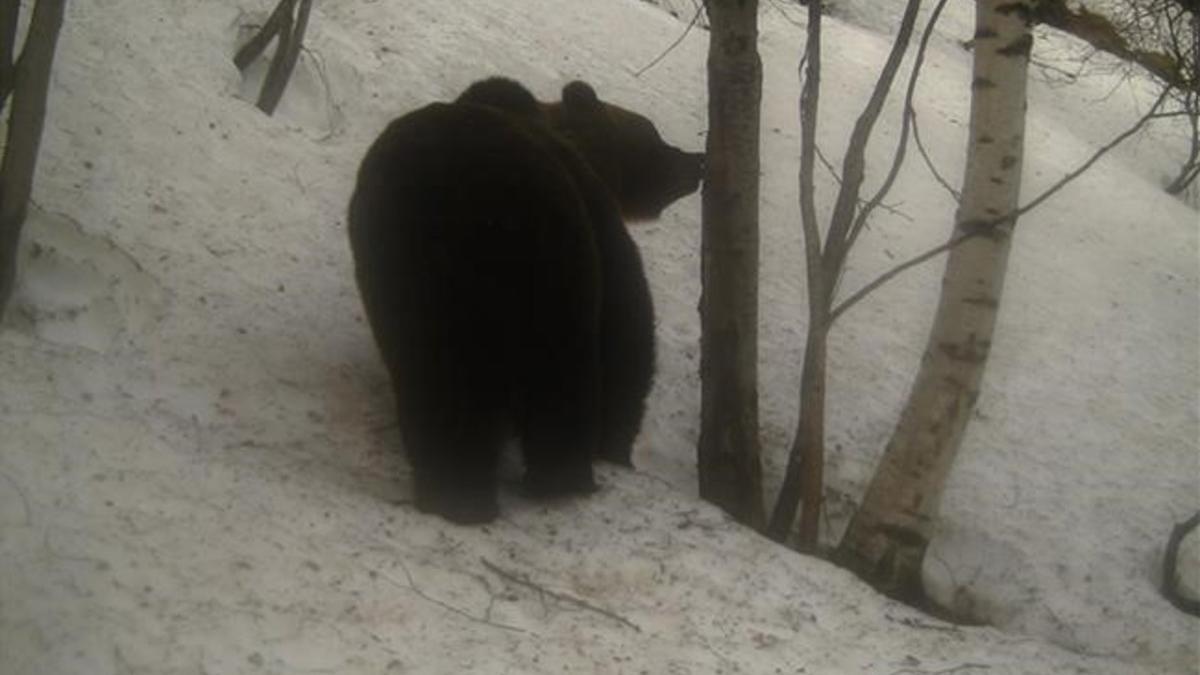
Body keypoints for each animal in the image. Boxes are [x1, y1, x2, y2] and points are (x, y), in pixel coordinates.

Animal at [348, 76, 700, 523]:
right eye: (652, 134)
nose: (698, 161)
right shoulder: (599, 226)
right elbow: (628, 329)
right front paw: (614, 446)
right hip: (539, 278)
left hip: (439, 280)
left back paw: (466, 491)